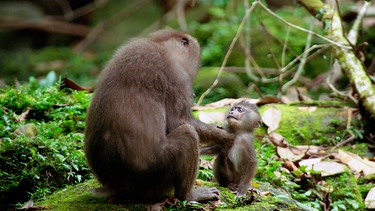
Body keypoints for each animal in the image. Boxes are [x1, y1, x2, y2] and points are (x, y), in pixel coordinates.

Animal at [85, 29, 235, 201]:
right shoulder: (177, 76)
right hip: (155, 175)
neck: (158, 43)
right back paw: (188, 195)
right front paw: (226, 138)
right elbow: (179, 121)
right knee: (188, 134)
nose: (193, 93)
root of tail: (115, 185)